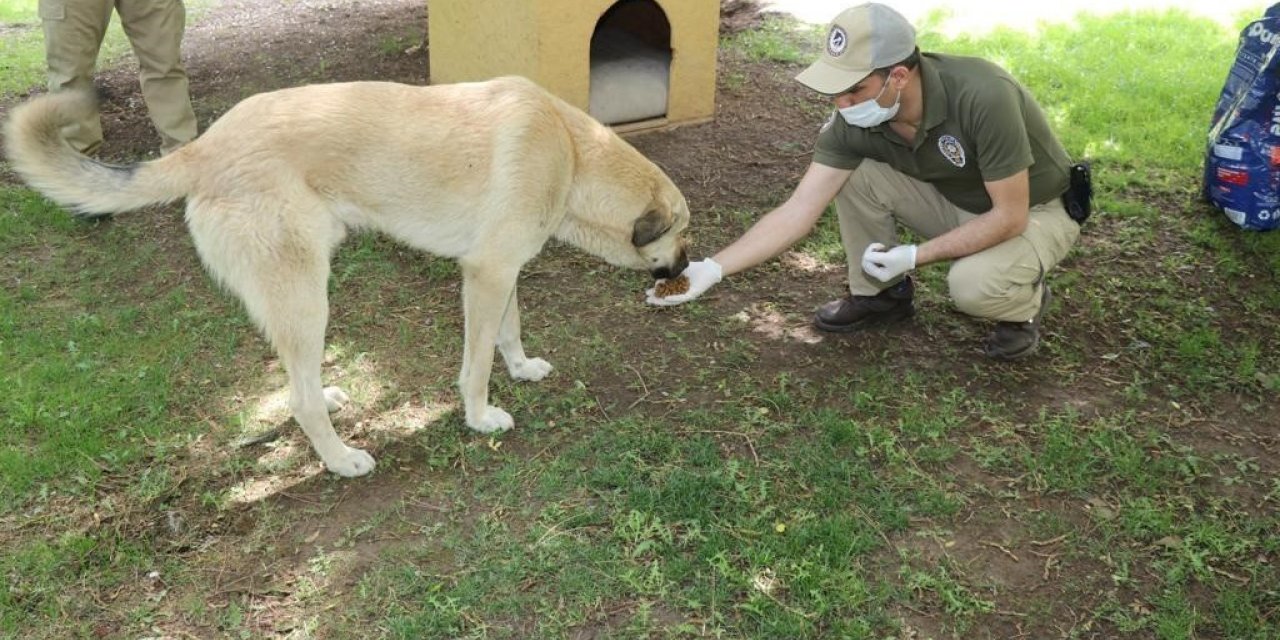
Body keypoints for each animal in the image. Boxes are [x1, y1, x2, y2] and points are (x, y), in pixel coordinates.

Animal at [2, 76, 691, 476]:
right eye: (683, 234)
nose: (686, 269)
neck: (572, 156)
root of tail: (202, 147)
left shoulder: (504, 273)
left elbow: (508, 333)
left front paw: (521, 369)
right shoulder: (486, 274)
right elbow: (475, 365)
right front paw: (479, 417)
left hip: (294, 298)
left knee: (296, 378)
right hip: (308, 296)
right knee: (299, 397)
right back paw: (340, 459)